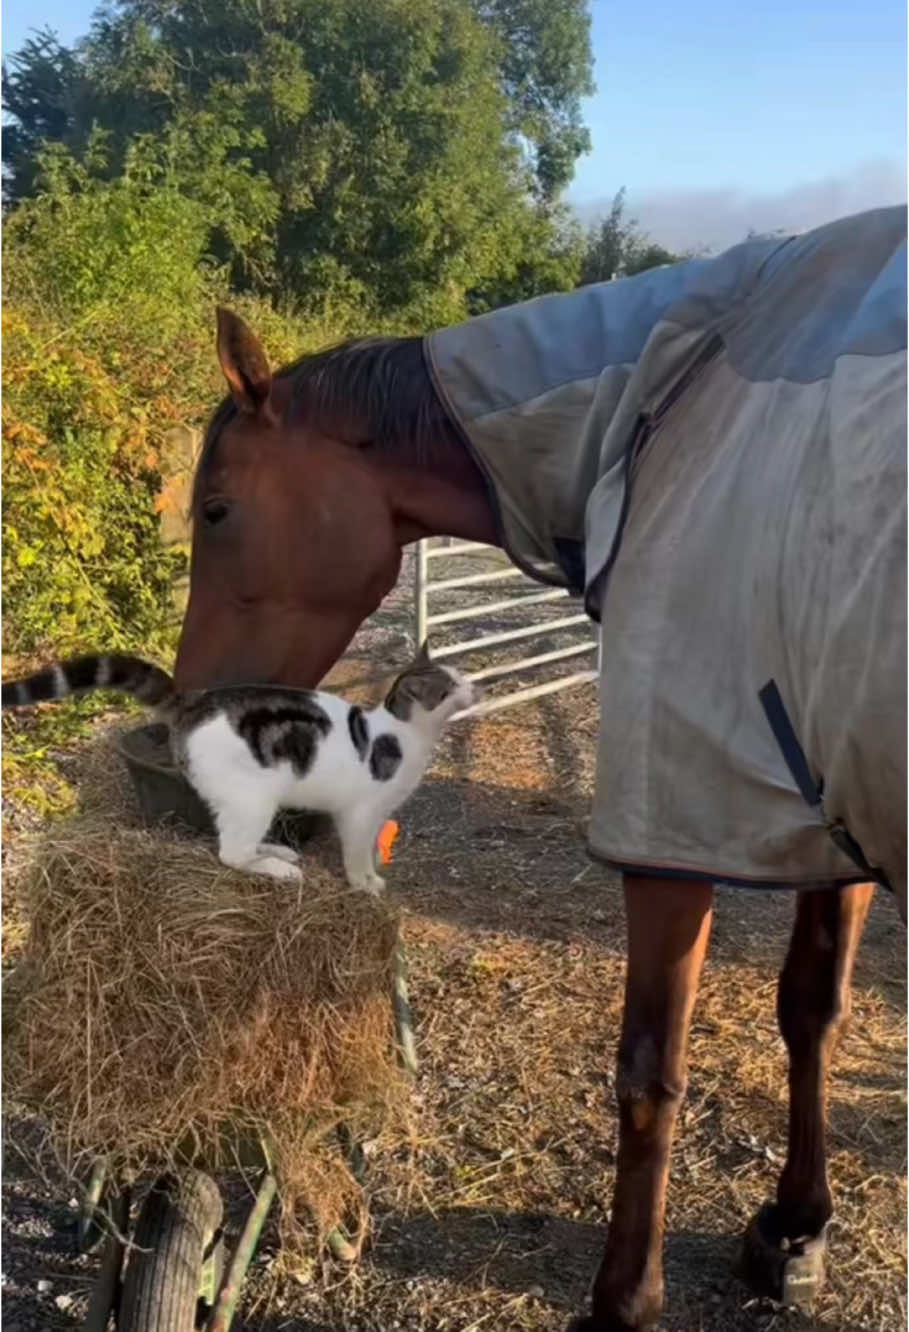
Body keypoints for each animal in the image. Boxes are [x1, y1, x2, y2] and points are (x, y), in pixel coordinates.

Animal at [3, 644, 474, 895]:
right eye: (449, 688)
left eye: (461, 676)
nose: (476, 688)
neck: (403, 734)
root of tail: (193, 702)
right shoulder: (358, 813)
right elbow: (356, 852)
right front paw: (364, 882)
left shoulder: (378, 812)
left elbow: (374, 844)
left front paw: (376, 867)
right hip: (254, 798)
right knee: (230, 854)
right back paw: (279, 869)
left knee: (236, 843)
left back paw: (276, 852)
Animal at [173, 202, 901, 1326]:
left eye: (215, 510)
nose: (185, 698)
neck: (670, 404)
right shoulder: (817, 812)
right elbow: (810, 1012)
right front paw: (794, 1226)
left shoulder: (676, 827)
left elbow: (650, 1073)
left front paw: (623, 1298)